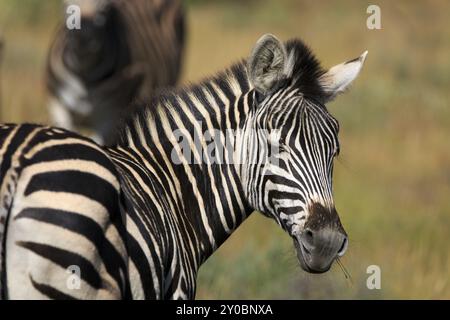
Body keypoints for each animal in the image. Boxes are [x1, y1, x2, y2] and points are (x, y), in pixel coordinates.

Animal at [45, 0, 185, 145]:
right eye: (66, 6)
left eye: (104, 9)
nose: (83, 38)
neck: (84, 77)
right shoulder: (58, 108)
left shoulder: (108, 118)